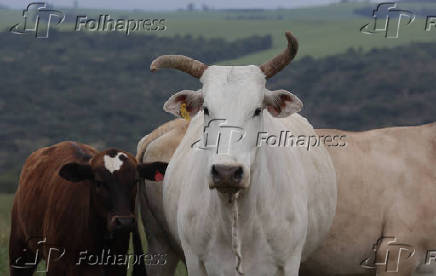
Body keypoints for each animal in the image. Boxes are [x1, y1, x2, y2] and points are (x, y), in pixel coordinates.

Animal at [10, 141, 167, 274]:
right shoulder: (56, 266)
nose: (124, 222)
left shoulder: (116, 267)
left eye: (135, 181)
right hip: (20, 252)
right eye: (98, 182)